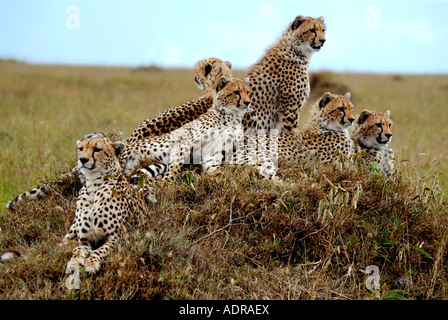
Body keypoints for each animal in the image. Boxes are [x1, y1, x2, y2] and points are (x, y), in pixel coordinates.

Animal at [64, 136, 150, 274]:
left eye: (97, 149)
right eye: (81, 148)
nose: (82, 159)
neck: (94, 185)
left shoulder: (119, 238)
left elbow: (99, 250)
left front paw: (91, 263)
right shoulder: (85, 241)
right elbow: (77, 250)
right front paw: (73, 262)